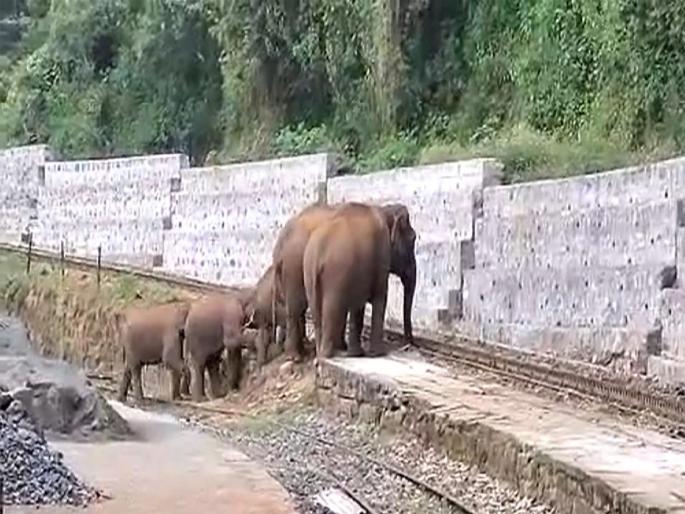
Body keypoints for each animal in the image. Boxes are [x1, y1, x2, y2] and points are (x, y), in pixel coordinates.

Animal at [302, 202, 416, 359]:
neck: (385, 209)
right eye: (413, 239)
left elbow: (358, 305)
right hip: (336, 274)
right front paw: (378, 353)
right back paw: (328, 354)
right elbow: (380, 297)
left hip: (309, 275)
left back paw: (321, 353)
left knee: (316, 311)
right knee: (331, 309)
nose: (408, 344)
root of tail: (317, 254)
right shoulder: (381, 255)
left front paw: (356, 354)